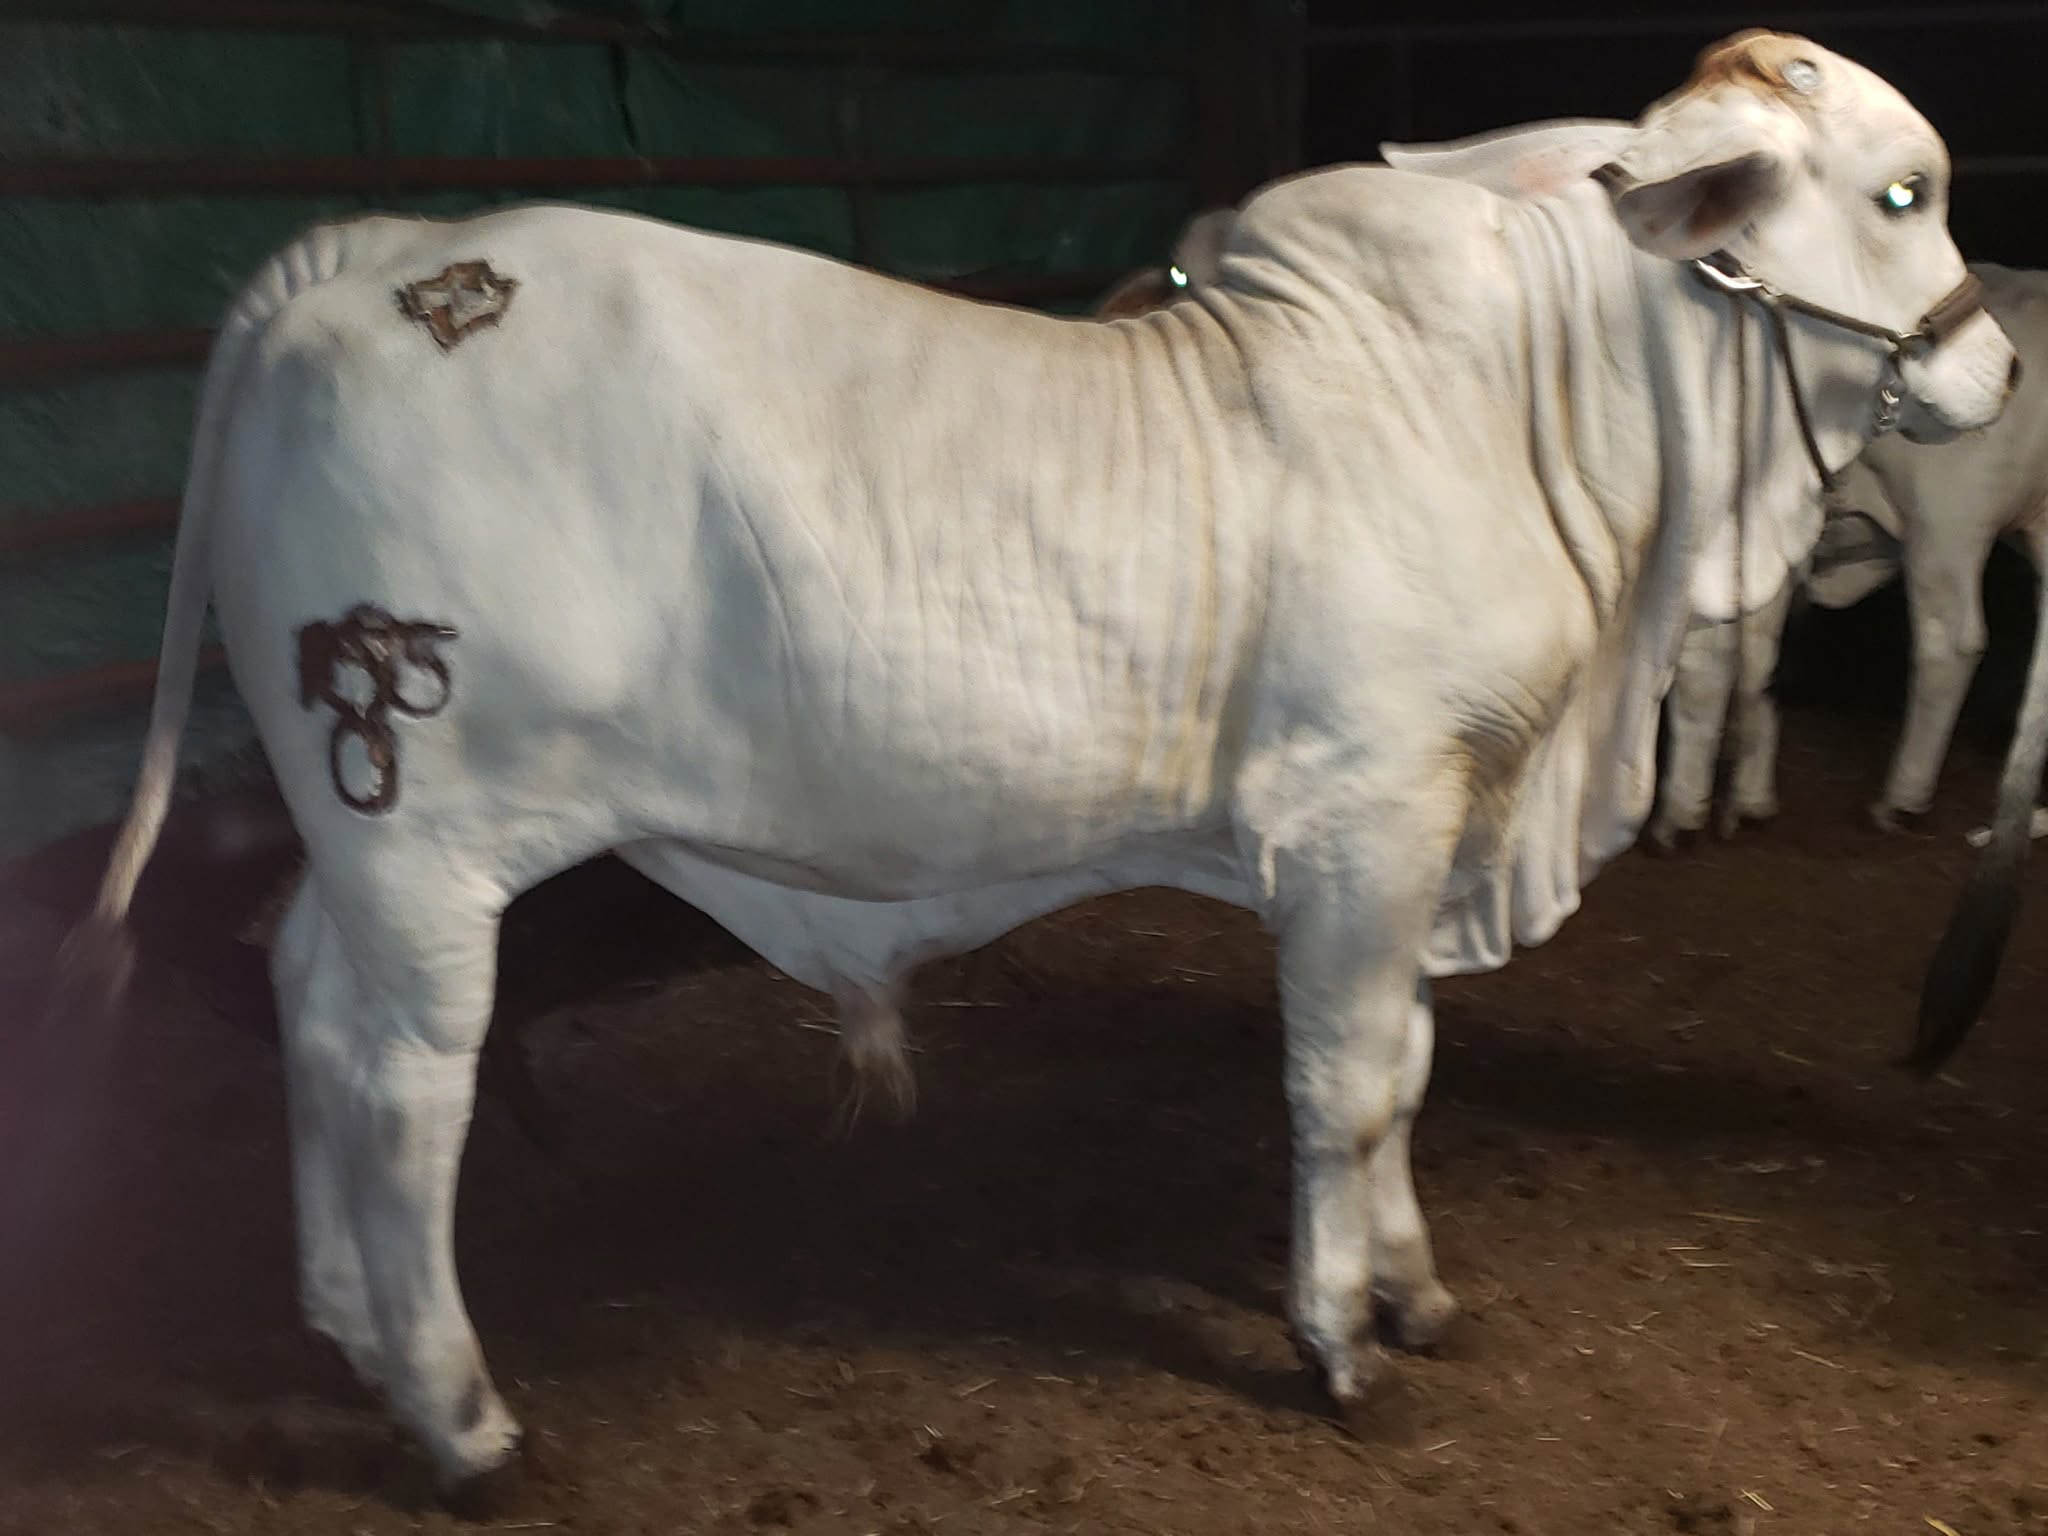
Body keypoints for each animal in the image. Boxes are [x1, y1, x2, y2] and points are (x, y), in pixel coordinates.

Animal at [1649, 264, 2048, 850]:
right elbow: (1755, 667)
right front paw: (1748, 794)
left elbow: (1705, 673)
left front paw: (1681, 812)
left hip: (1945, 526)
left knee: (1949, 644)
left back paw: (1903, 797)